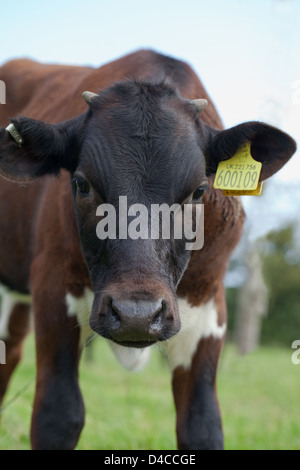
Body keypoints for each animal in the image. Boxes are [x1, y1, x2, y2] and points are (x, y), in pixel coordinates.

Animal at [0, 49, 296, 450]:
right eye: (81, 184)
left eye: (199, 190)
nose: (136, 314)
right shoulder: (52, 285)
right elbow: (59, 414)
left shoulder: (210, 309)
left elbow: (202, 425)